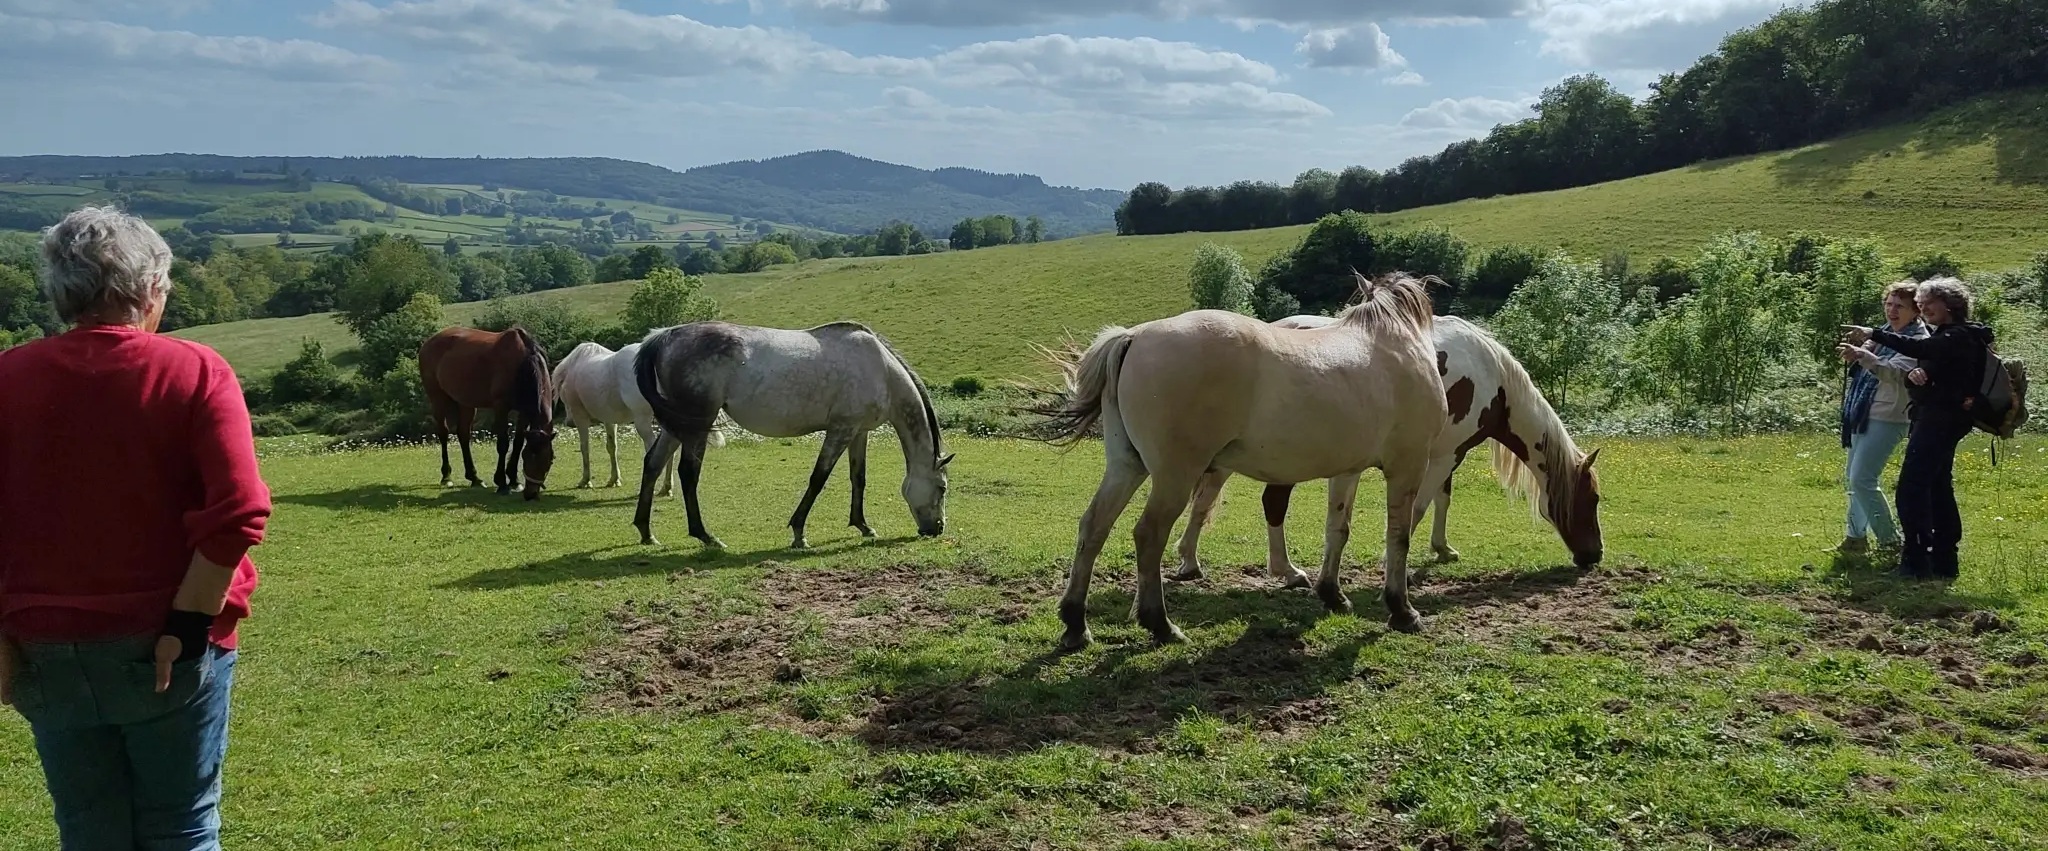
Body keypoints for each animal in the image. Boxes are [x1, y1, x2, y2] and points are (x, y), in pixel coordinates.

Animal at [418, 325, 559, 501]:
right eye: (527, 458)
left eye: (549, 460)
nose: (531, 494)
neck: (522, 364)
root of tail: (428, 342)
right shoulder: (501, 408)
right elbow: (503, 444)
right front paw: (502, 483)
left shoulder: (524, 412)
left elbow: (518, 442)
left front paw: (514, 480)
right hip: (437, 397)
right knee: (443, 433)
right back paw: (446, 477)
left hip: (466, 403)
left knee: (463, 435)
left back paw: (474, 478)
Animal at [552, 340, 726, 495]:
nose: (569, 422)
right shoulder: (609, 419)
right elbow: (612, 447)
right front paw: (614, 479)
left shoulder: (580, 417)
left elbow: (585, 448)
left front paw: (586, 480)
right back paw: (666, 487)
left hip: (642, 421)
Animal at [630, 320, 954, 550]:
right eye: (942, 488)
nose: (937, 529)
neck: (881, 369)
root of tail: (665, 335)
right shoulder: (840, 430)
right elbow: (818, 478)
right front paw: (799, 533)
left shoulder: (858, 432)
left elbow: (858, 479)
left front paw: (862, 526)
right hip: (697, 424)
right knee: (688, 472)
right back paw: (706, 536)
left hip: (676, 426)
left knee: (653, 464)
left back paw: (646, 532)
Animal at [1024, 272, 1449, 651]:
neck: (1393, 342)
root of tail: (1134, 336)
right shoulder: (1408, 465)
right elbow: (1399, 535)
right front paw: (1402, 610)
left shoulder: (1348, 470)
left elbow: (1337, 529)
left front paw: (1332, 594)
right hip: (1174, 475)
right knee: (1148, 535)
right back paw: (1160, 625)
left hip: (1127, 467)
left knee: (1094, 527)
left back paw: (1076, 624)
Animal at [1170, 313, 1605, 590]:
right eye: (1594, 499)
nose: (1595, 555)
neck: (1490, 378)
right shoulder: (1443, 455)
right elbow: (1420, 506)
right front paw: (1397, 565)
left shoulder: (1447, 454)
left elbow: (1443, 501)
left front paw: (1442, 549)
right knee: (1269, 503)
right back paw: (1286, 571)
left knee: (1208, 497)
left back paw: (1190, 561)